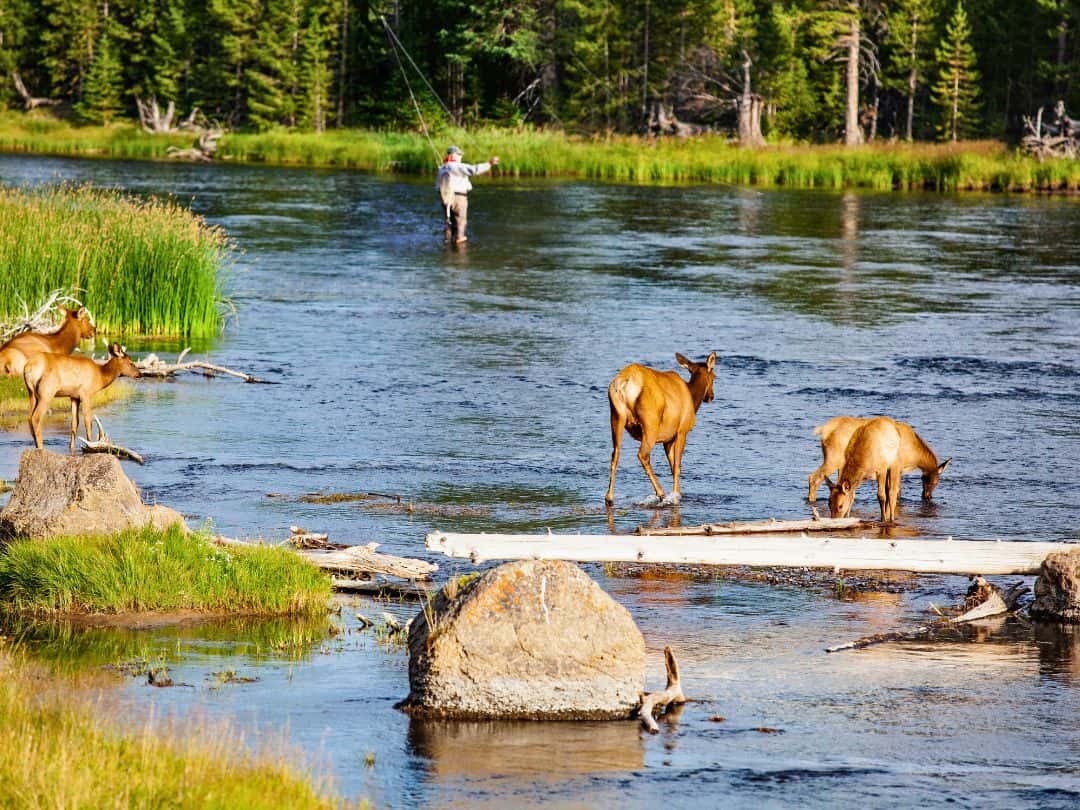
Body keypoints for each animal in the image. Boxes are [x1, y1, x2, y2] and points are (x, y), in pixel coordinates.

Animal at [609, 349, 717, 505]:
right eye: (714, 377)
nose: (711, 396)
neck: (693, 398)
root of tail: (623, 383)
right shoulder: (682, 431)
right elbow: (677, 466)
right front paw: (676, 495)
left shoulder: (668, 439)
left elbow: (672, 466)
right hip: (650, 423)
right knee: (643, 455)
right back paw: (660, 493)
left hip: (616, 416)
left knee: (615, 454)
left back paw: (609, 497)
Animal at [807, 414, 950, 505]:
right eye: (934, 482)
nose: (927, 497)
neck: (915, 456)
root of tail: (823, 431)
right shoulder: (897, 467)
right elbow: (896, 491)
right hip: (834, 459)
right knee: (814, 477)